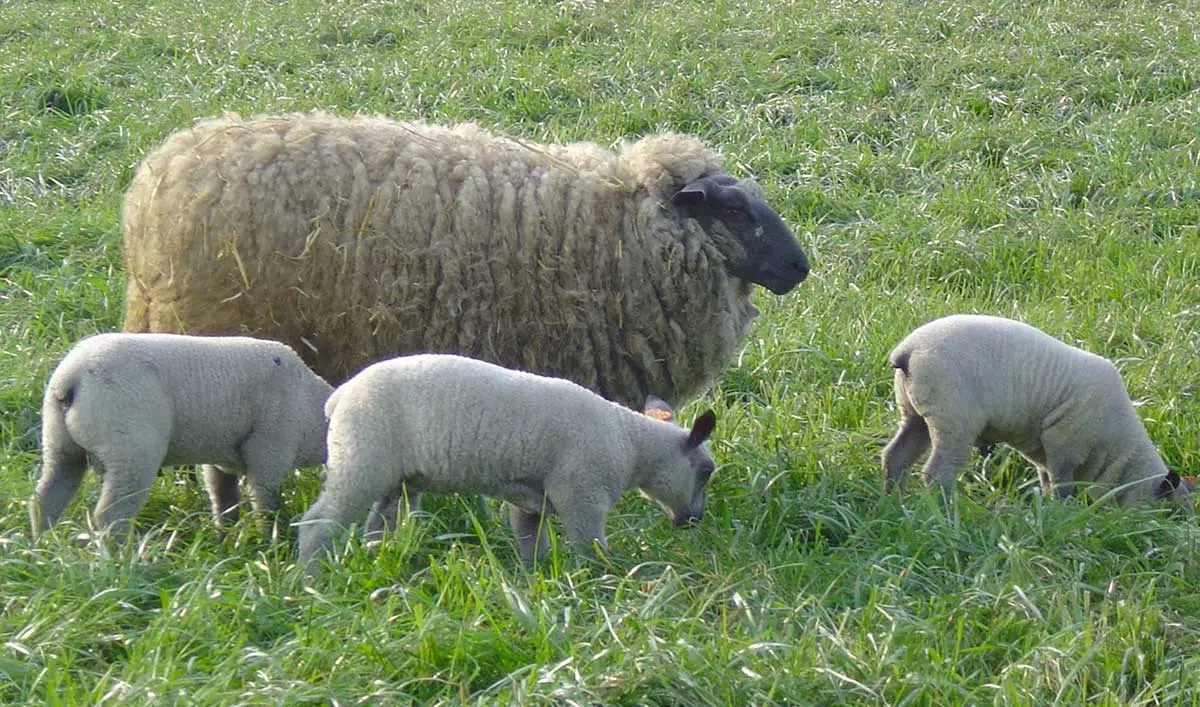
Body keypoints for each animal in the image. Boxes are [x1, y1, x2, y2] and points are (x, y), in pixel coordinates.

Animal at [32, 331, 333, 535]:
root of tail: (72, 378)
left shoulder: (221, 458)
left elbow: (223, 499)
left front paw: (225, 539)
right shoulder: (270, 451)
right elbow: (265, 502)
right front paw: (270, 539)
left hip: (59, 444)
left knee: (45, 499)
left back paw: (40, 547)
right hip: (130, 448)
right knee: (110, 515)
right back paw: (121, 563)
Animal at [878, 312, 1195, 516]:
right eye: (1173, 513)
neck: (1118, 453)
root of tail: (906, 351)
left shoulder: (1044, 450)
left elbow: (1046, 480)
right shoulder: (1065, 446)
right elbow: (1062, 484)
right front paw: (1062, 512)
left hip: (915, 415)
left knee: (896, 457)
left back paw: (895, 501)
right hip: (954, 420)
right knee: (937, 473)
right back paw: (946, 512)